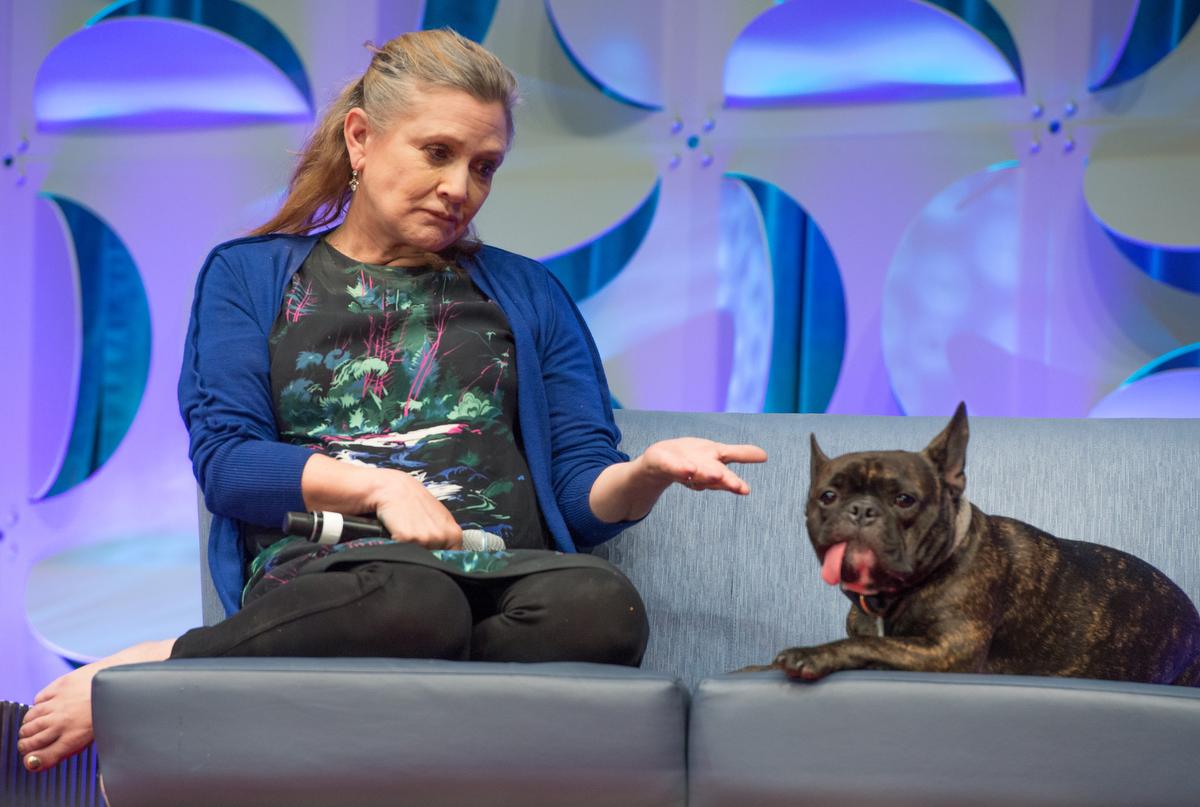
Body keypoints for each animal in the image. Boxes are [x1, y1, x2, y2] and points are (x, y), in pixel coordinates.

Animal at [763, 405, 1200, 682]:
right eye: (827, 496)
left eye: (904, 499)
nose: (861, 509)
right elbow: (869, 641)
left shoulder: (947, 650)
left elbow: (872, 648)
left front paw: (813, 653)